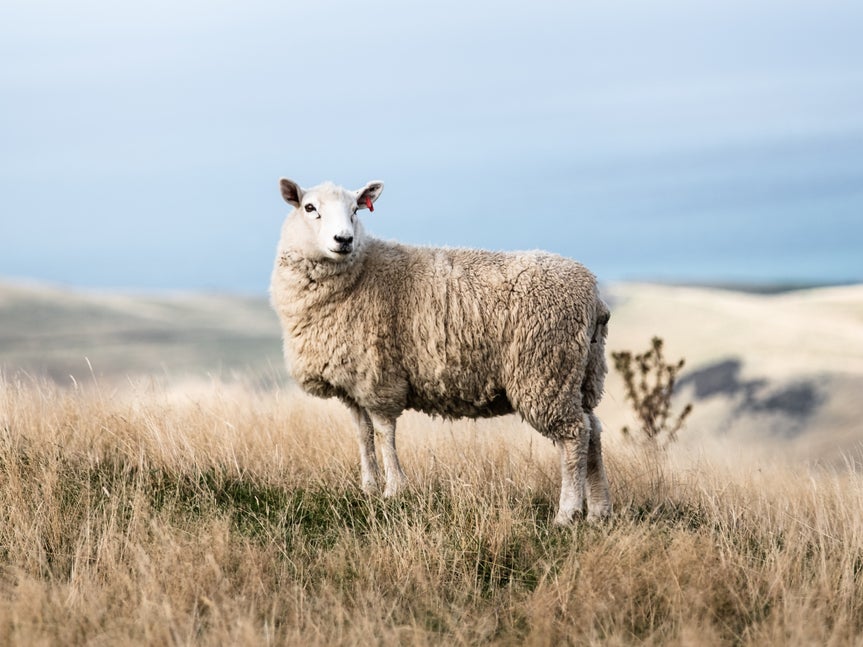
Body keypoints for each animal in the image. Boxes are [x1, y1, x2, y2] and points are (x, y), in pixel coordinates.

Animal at [272, 177, 616, 528]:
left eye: (356, 209)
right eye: (309, 207)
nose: (344, 239)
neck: (361, 272)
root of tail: (593, 294)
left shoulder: (380, 378)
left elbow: (384, 433)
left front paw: (394, 490)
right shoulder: (353, 383)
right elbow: (363, 435)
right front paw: (368, 487)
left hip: (546, 370)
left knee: (574, 435)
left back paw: (567, 513)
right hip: (581, 374)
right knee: (593, 431)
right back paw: (599, 511)